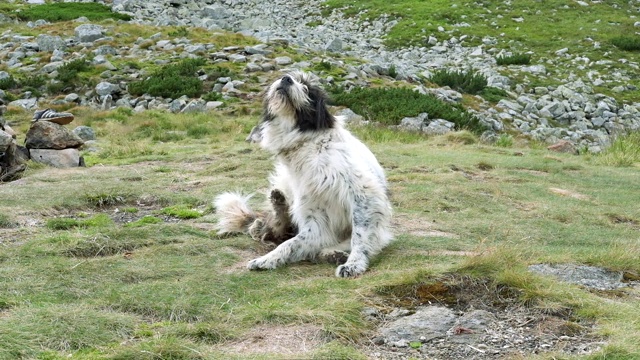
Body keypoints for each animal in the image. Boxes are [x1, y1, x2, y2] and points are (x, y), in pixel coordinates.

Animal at [215, 71, 392, 278]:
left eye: (307, 88)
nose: (286, 79)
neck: (309, 145)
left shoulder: (363, 193)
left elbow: (359, 235)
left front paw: (354, 263)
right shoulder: (314, 217)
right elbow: (290, 243)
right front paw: (268, 259)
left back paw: (333, 252)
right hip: (285, 185)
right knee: (275, 229)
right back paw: (272, 211)